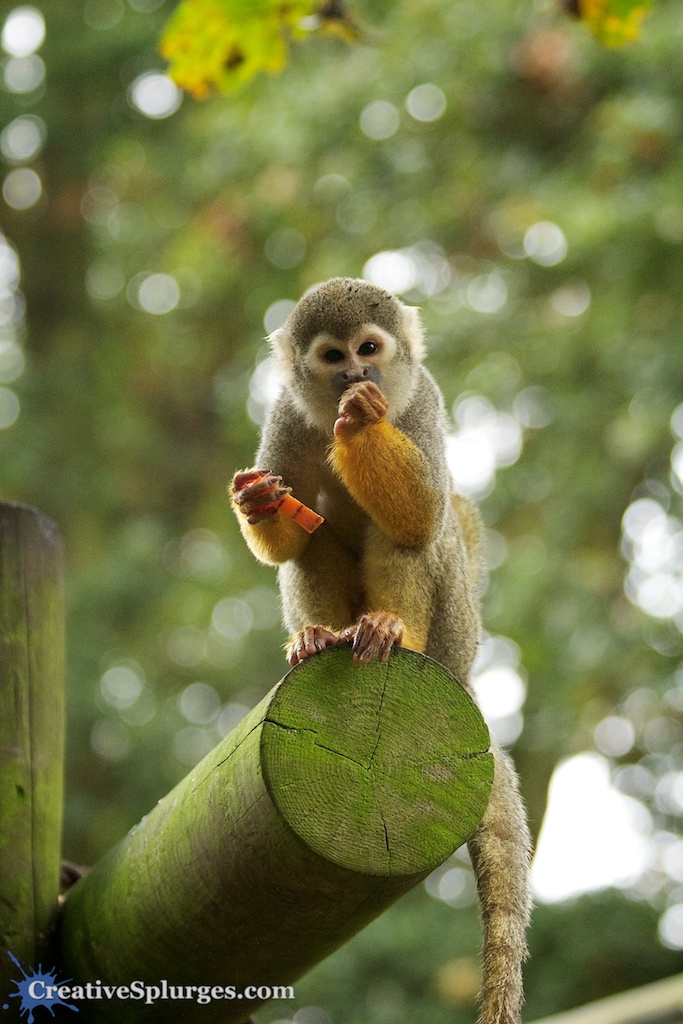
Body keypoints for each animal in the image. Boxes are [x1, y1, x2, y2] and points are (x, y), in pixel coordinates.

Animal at [231, 277, 532, 1024]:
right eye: (332, 356)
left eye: (369, 350)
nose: (353, 380)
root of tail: (462, 672)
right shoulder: (284, 411)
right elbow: (289, 532)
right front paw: (259, 504)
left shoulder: (422, 397)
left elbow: (419, 516)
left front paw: (365, 422)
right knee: (315, 535)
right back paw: (318, 637)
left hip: (456, 630)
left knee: (423, 531)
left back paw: (395, 631)